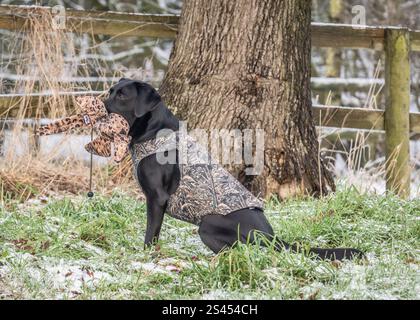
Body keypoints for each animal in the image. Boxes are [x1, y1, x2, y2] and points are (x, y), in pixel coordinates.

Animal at [104, 79, 360, 262]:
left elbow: (151, 233)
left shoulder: (157, 198)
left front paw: (145, 256)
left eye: (122, 95)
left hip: (208, 225)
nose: (102, 103)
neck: (153, 131)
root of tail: (273, 238)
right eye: (111, 91)